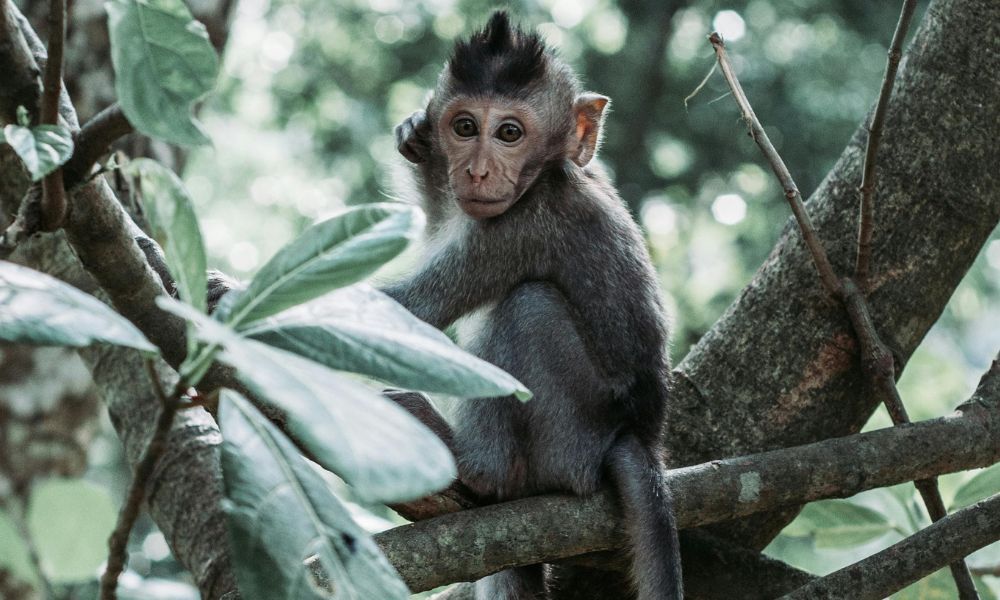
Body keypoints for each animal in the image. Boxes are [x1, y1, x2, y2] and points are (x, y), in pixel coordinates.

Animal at [386, 10, 684, 600]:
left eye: (509, 133)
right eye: (464, 127)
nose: (477, 172)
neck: (545, 176)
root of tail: (636, 437)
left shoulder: (523, 227)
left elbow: (410, 307)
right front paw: (417, 138)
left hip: (572, 433)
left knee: (529, 306)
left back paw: (477, 470)